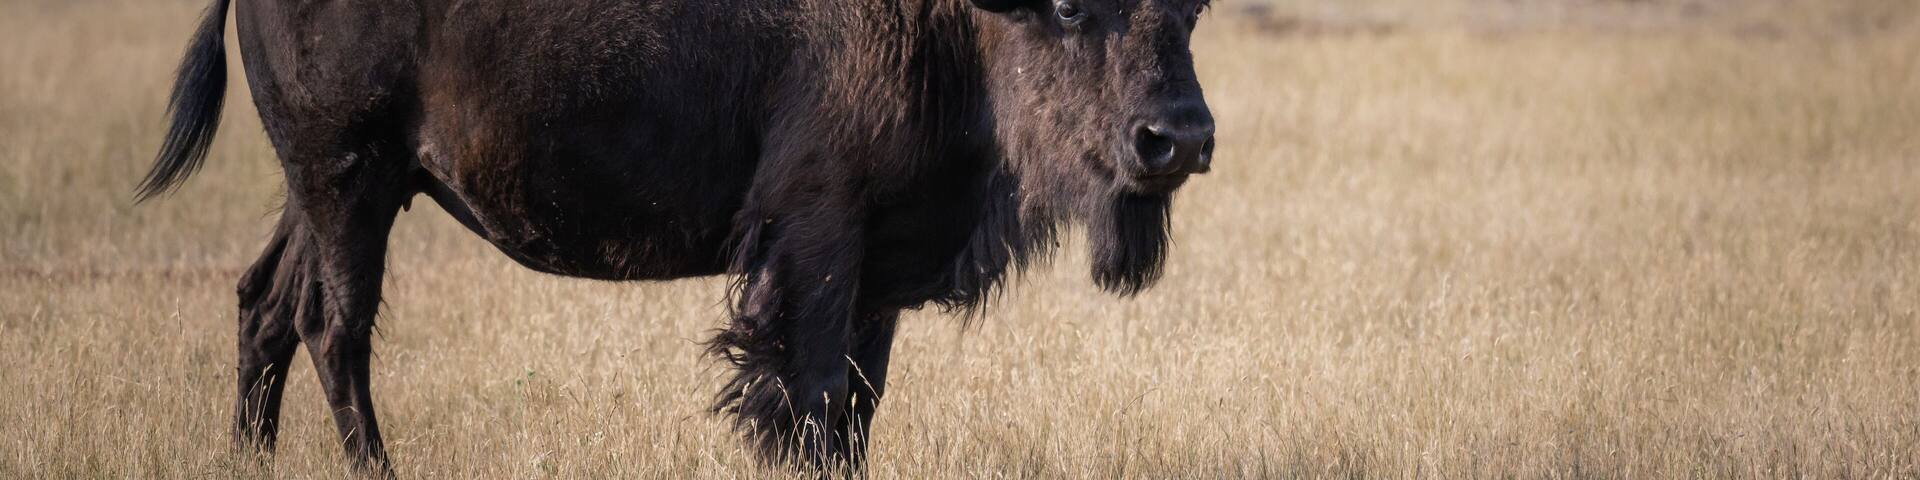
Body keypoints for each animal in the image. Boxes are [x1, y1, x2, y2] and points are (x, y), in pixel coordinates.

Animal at [139, 0, 1216, 474]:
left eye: (1192, 5)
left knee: (264, 305)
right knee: (334, 327)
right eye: (1068, 3)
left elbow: (857, 404)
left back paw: (248, 458)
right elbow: (805, 395)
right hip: (349, 184)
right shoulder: (816, 239)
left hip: (336, 191)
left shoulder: (877, 269)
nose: (1179, 137)